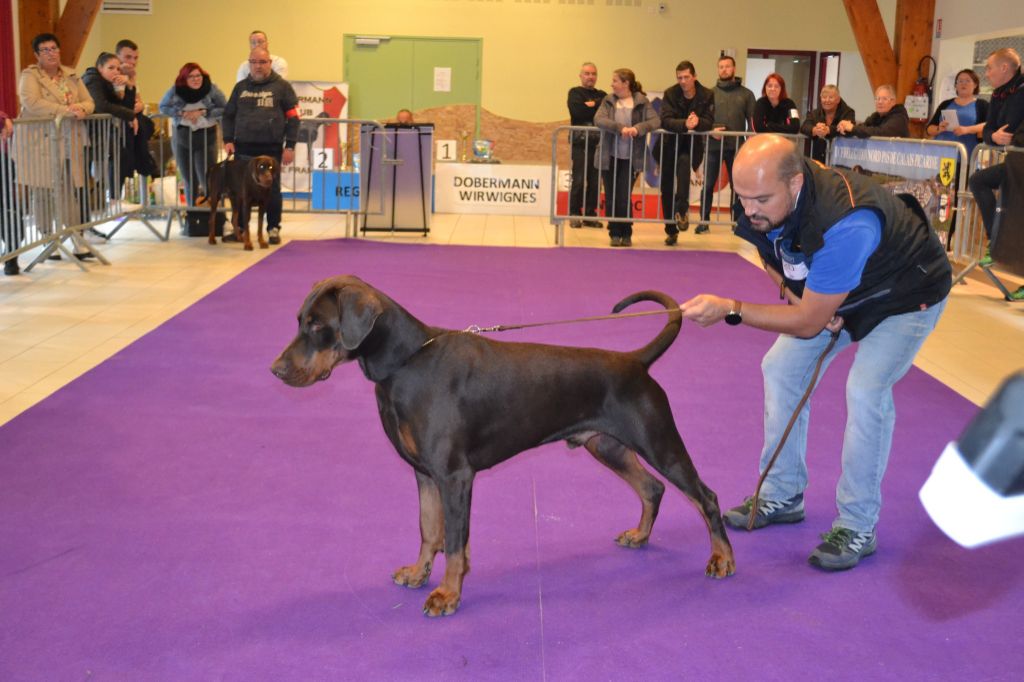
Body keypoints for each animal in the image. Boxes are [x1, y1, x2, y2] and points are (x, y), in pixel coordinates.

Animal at [270, 274, 737, 614]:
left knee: (705, 496)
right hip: (606, 446)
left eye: (317, 324)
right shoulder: (425, 473)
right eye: (297, 319)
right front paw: (418, 573)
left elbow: (455, 542)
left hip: (659, 442)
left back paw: (723, 559)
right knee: (652, 488)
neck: (407, 362)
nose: (275, 369)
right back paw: (639, 536)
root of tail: (635, 361)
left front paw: (447, 594)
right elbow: (429, 528)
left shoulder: (455, 476)